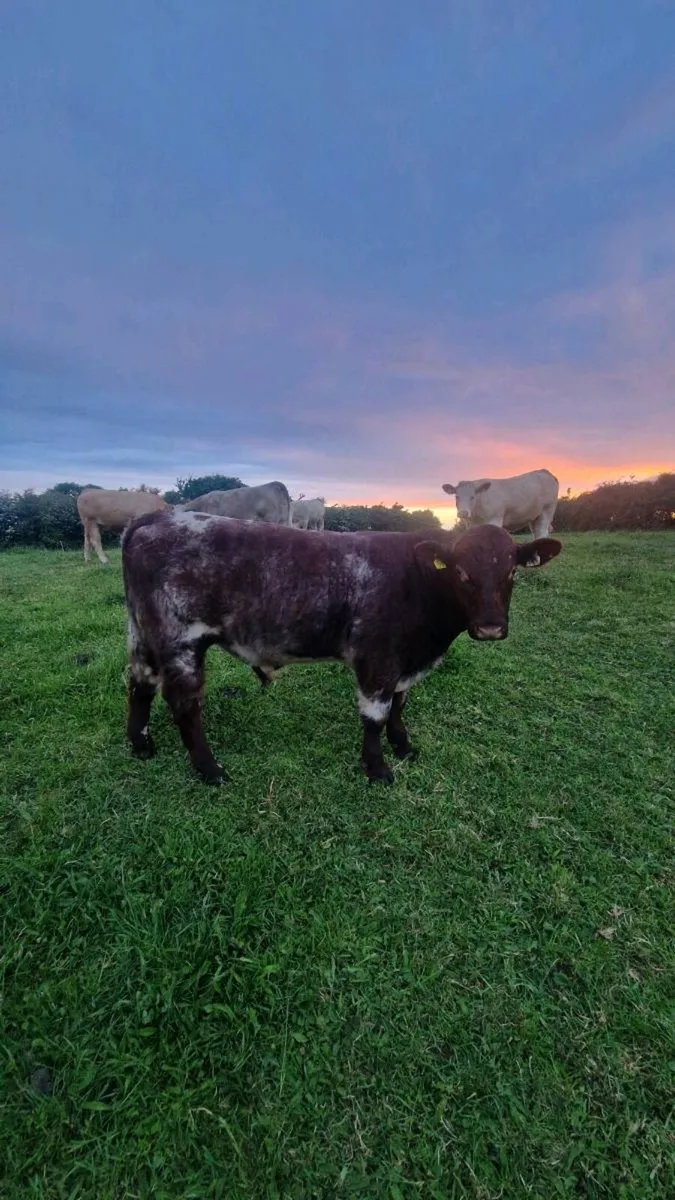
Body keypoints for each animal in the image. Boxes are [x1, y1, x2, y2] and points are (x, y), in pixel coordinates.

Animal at [122, 510, 562, 787]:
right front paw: (377, 769)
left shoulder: (404, 663)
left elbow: (399, 707)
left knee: (140, 684)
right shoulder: (378, 660)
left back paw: (141, 745)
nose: (490, 627)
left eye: (512, 571)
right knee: (184, 702)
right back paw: (210, 769)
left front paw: (403, 747)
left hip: (142, 634)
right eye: (461, 572)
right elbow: (375, 716)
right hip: (180, 640)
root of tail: (155, 518)